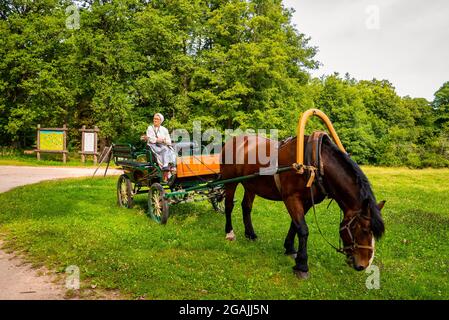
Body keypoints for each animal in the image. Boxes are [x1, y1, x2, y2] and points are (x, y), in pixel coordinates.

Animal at [219, 132, 384, 278]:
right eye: (361, 229)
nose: (364, 264)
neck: (315, 164)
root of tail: (233, 140)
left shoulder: (307, 202)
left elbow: (295, 225)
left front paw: (290, 248)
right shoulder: (291, 198)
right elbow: (303, 229)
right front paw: (302, 265)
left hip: (251, 185)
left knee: (246, 207)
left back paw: (250, 234)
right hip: (230, 181)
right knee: (229, 206)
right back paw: (229, 233)